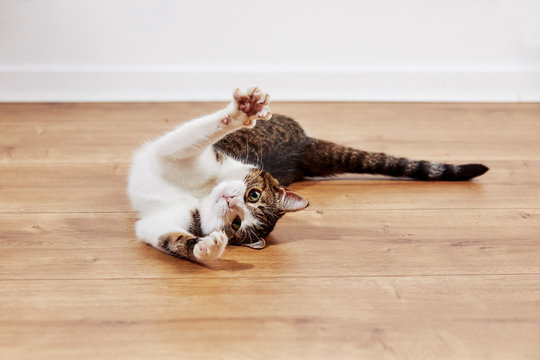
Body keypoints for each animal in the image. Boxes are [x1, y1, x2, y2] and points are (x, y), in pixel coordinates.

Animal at [127, 86, 490, 262]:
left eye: (237, 223)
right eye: (252, 195)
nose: (230, 199)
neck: (199, 197)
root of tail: (304, 146)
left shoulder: (162, 223)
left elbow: (172, 239)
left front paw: (208, 248)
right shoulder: (185, 154)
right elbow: (202, 133)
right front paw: (242, 111)